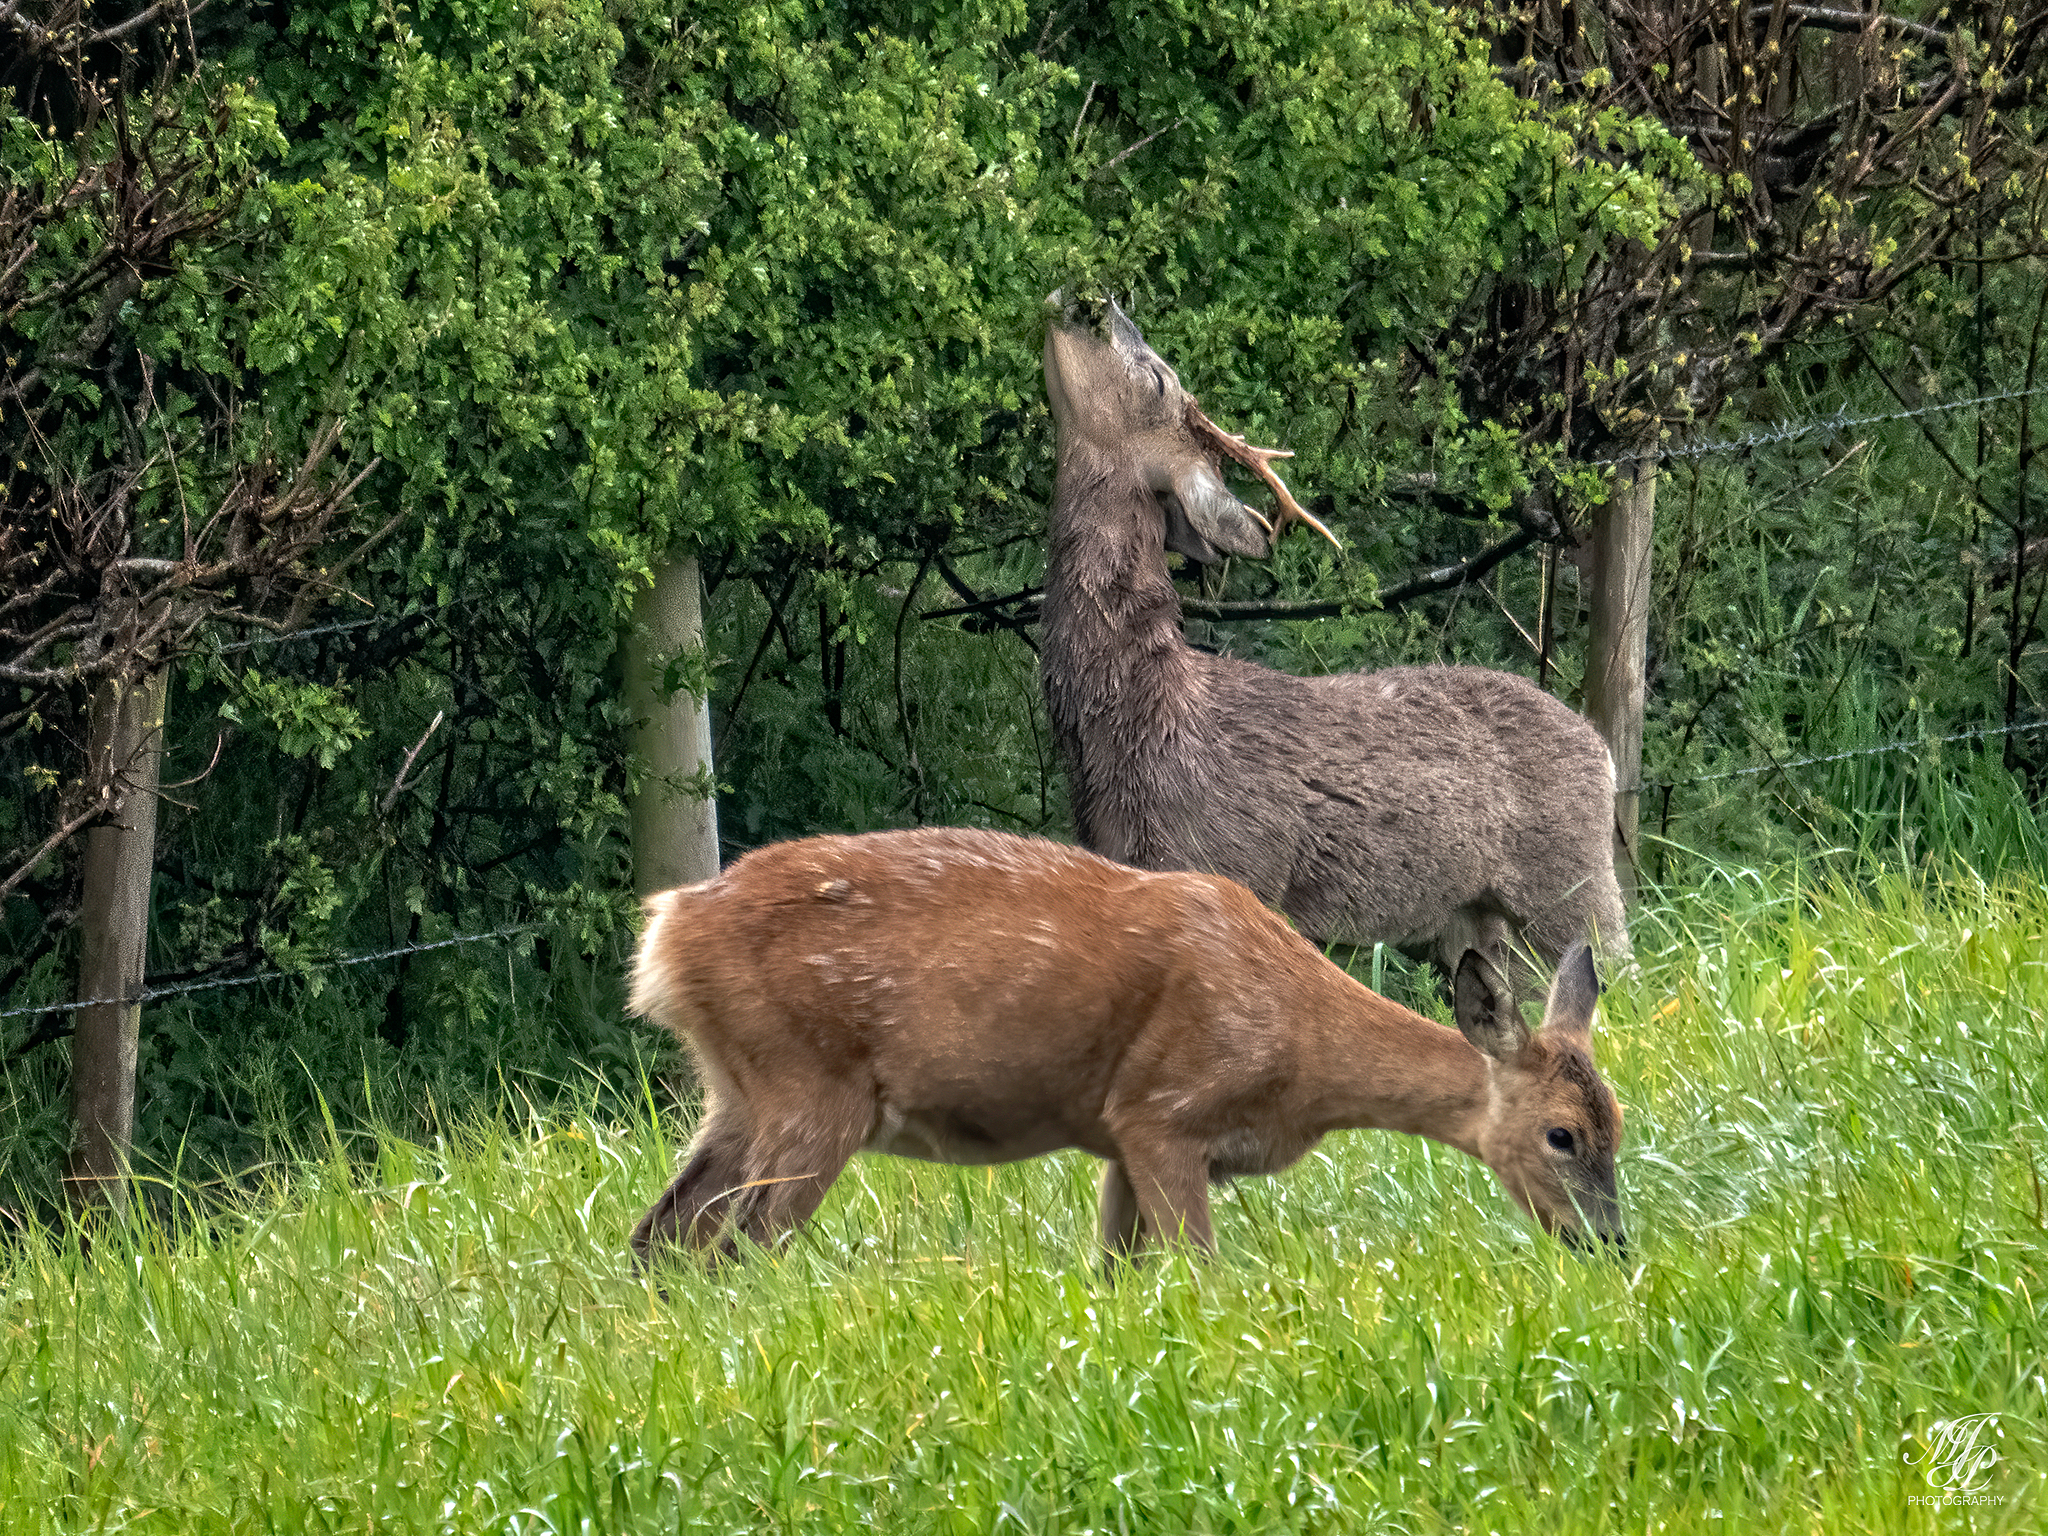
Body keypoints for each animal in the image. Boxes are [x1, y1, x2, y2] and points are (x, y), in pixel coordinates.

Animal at [628, 826, 1625, 1270]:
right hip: (811, 1085)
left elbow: (1116, 1270)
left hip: (737, 1090)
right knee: (740, 1243)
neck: (1302, 1055)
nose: (1610, 1245)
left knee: (661, 1234)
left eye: (1619, 1124)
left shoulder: (1118, 1135)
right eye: (1563, 1135)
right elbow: (1199, 1268)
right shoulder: (1163, 1112)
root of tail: (667, 934)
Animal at [1039, 295, 1629, 997]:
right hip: (1476, 917)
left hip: (1572, 884)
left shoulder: (1229, 860)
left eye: (1157, 379)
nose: (1091, 301)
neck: (1136, 717)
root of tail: (1604, 753)